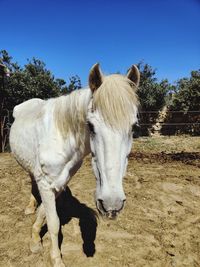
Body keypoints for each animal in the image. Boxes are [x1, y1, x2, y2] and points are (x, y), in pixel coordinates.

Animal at [9, 64, 140, 267]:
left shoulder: (60, 182)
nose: (112, 205)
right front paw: (54, 257)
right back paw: (29, 207)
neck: (61, 139)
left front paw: (35, 239)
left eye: (133, 127)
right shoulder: (46, 183)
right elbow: (53, 222)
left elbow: (44, 212)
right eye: (91, 126)